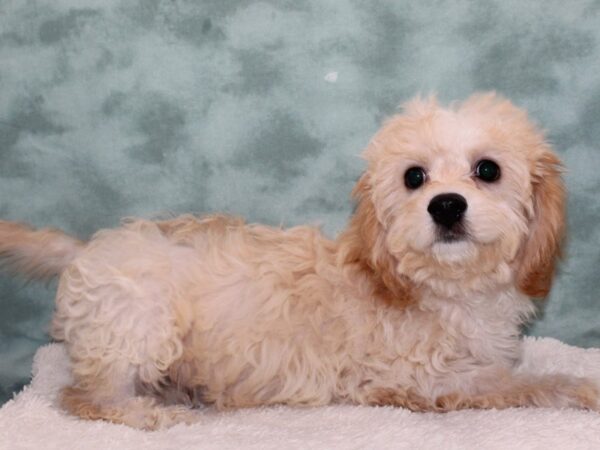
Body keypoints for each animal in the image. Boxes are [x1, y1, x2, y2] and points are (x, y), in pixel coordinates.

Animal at [0, 92, 596, 428]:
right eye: (414, 177)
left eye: (488, 170)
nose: (446, 205)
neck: (442, 287)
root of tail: (90, 246)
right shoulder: (430, 382)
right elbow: (526, 384)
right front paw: (583, 387)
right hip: (138, 327)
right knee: (82, 396)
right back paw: (147, 412)